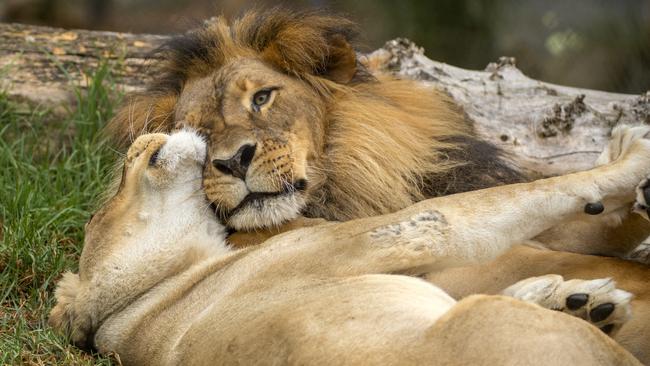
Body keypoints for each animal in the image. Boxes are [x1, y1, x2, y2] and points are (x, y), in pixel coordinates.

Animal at [52, 130, 650, 364]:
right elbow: (521, 196)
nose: (142, 140)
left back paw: (584, 304)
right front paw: (632, 158)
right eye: (112, 191)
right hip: (478, 317)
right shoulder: (401, 231)